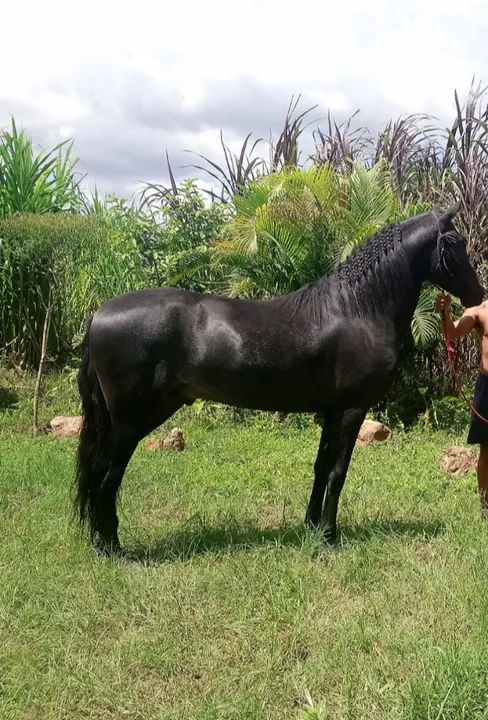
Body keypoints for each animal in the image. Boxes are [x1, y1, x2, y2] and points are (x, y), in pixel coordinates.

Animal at [75, 203, 484, 554]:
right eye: (455, 243)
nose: (478, 294)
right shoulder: (353, 410)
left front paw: (312, 527)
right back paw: (112, 548)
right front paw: (330, 537)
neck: (357, 310)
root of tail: (99, 314)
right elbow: (338, 472)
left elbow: (321, 467)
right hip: (131, 422)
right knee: (104, 476)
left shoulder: (332, 411)